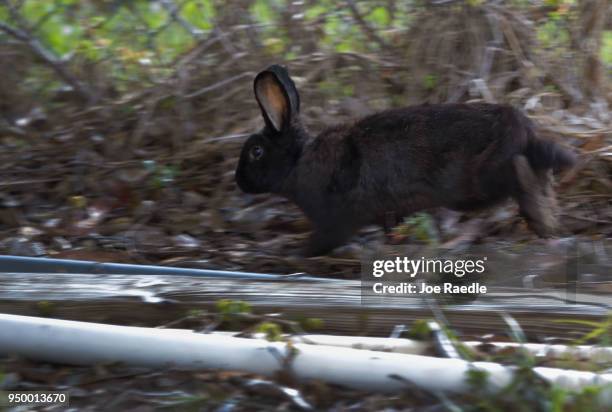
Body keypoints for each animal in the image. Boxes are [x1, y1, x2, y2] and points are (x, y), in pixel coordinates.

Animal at [233, 65, 572, 256]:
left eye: (255, 151)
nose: (238, 181)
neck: (298, 161)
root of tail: (523, 131)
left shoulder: (336, 219)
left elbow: (324, 240)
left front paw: (295, 254)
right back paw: (550, 225)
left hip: (479, 180)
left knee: (521, 176)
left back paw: (544, 225)